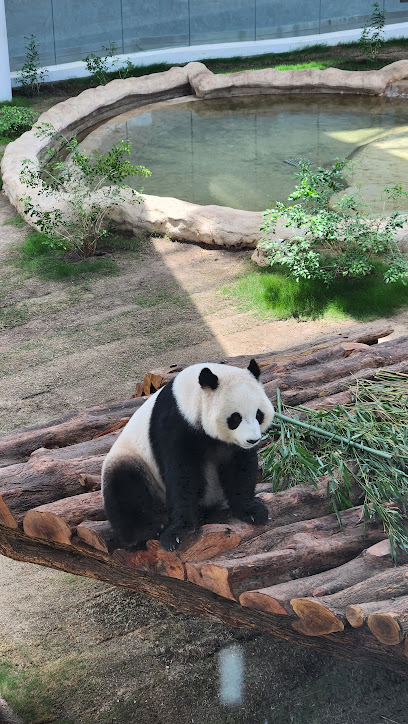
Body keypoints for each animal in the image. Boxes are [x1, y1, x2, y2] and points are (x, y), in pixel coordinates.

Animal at [102, 358, 274, 551]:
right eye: (235, 418)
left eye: (259, 414)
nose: (252, 440)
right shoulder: (175, 424)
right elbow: (182, 475)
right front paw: (176, 533)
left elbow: (239, 469)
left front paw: (252, 511)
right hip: (133, 459)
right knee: (125, 488)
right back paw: (146, 531)